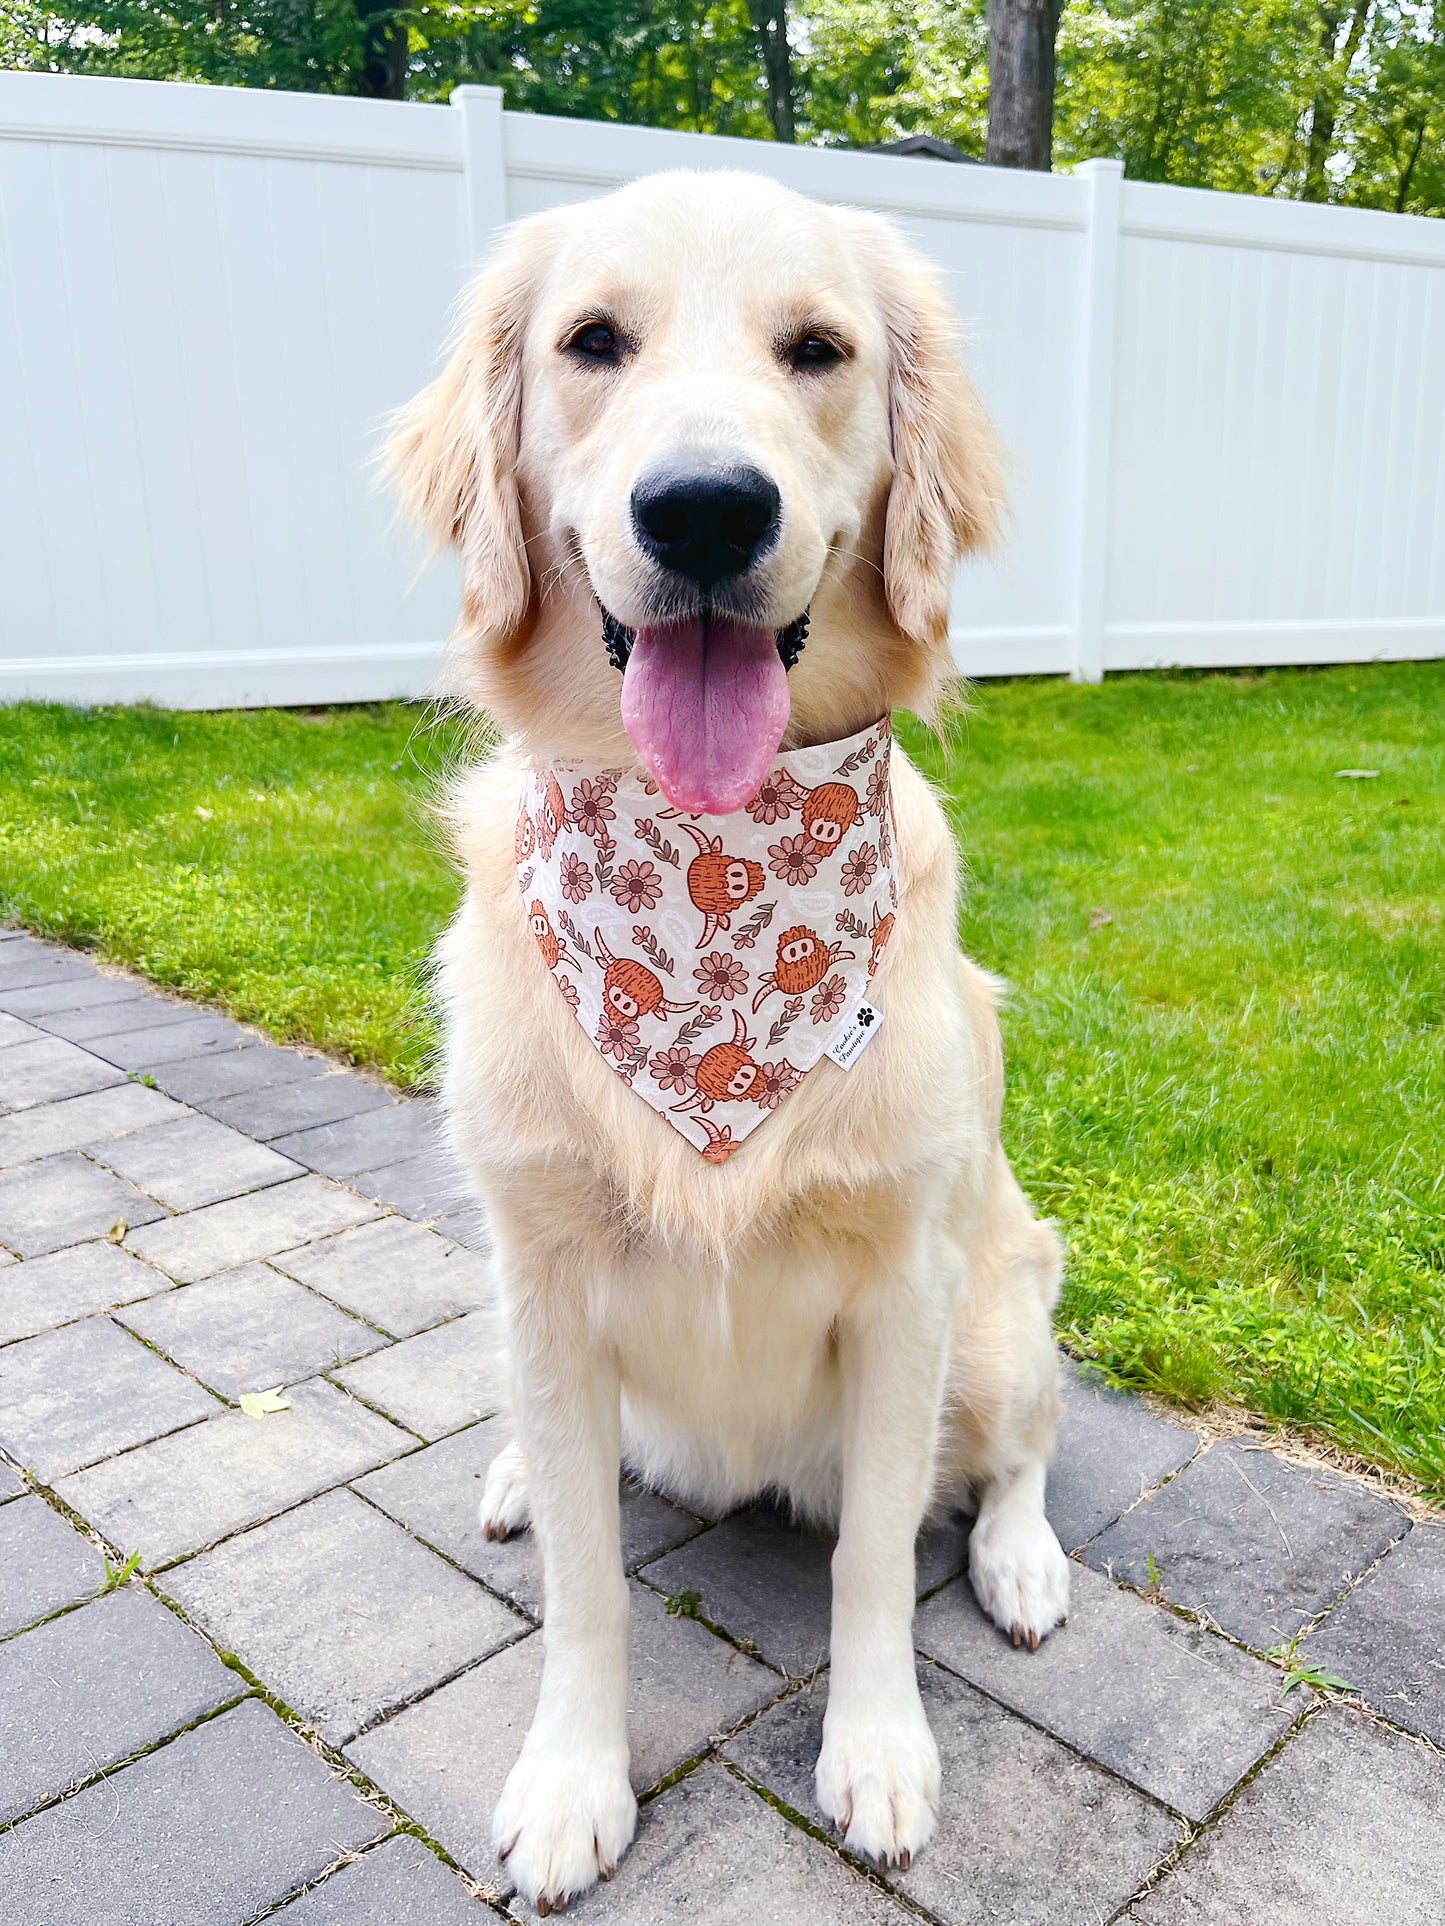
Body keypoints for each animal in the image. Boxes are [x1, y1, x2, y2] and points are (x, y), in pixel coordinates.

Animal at [391, 165, 1071, 1910]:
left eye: (816, 349)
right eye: (592, 342)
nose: (705, 509)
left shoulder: (905, 1291)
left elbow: (874, 1562)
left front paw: (880, 1752)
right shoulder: (543, 1272)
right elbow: (587, 1585)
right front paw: (572, 1780)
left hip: (998, 1312)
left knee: (1020, 1450)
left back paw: (1024, 1559)